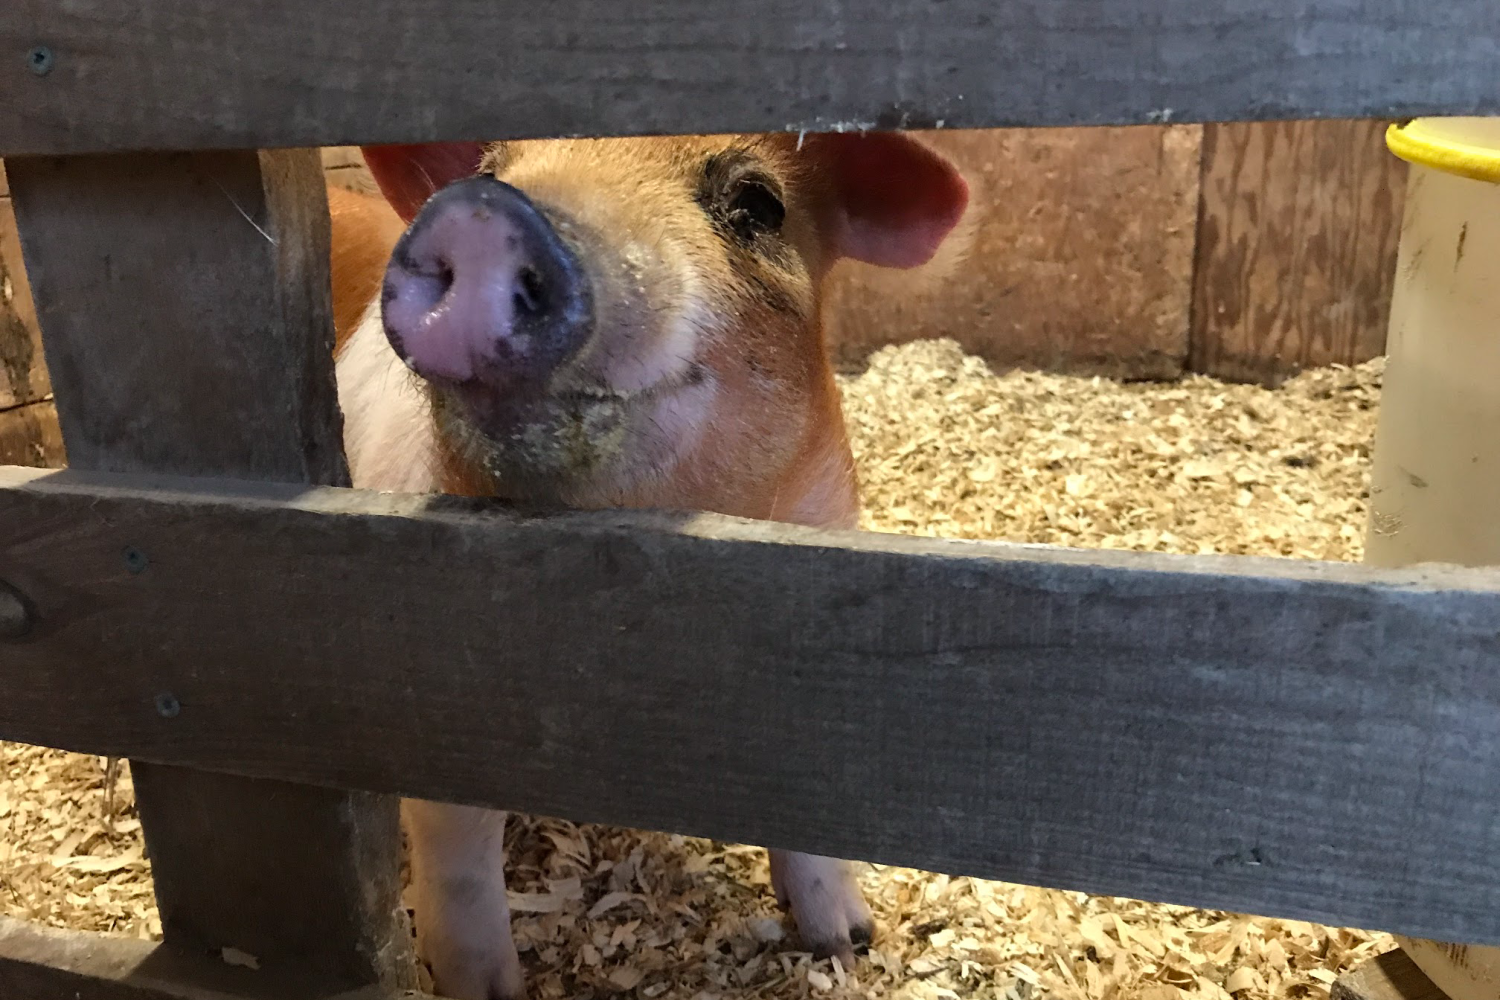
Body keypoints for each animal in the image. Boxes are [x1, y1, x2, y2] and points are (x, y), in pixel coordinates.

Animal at [322, 132, 966, 1000]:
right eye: (490, 171)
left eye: (758, 203)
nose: (481, 213)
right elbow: (460, 852)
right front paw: (485, 990)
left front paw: (846, 941)